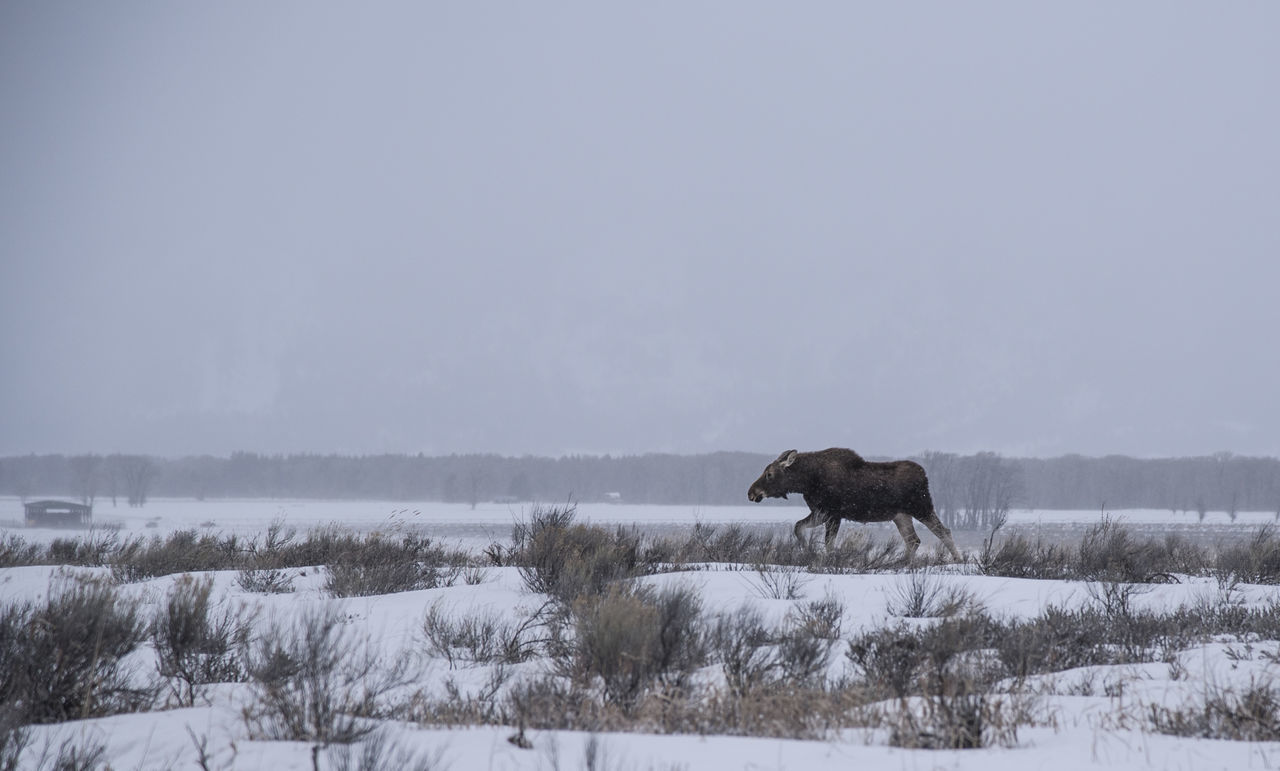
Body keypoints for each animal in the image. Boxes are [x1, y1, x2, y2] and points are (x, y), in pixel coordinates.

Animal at [747, 448, 962, 560]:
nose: (751, 492)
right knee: (914, 540)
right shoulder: (821, 512)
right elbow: (798, 527)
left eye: (769, 474)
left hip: (921, 507)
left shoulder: (832, 514)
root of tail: (924, 476)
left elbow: (828, 543)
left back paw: (957, 560)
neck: (806, 482)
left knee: (943, 531)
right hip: (901, 515)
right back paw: (901, 562)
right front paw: (808, 551)